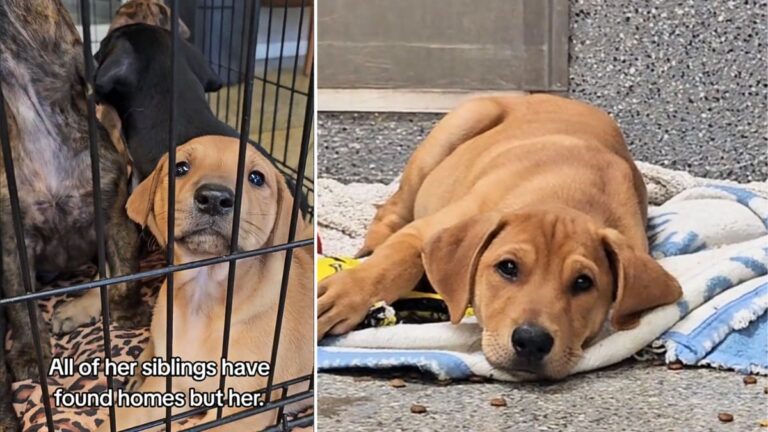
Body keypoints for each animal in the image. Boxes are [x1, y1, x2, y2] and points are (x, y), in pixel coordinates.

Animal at [0, 0, 144, 426]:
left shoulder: (114, 218)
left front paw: (128, 312)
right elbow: (22, 304)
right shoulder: (14, 244)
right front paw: (29, 352)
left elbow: (124, 273)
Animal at [99, 136, 312, 432]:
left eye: (256, 178)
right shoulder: (169, 385)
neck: (202, 297)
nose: (214, 198)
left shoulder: (245, 408)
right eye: (180, 168)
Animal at [320, 95, 684, 382]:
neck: (566, 197)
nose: (532, 342)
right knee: (392, 210)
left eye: (583, 283)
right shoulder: (422, 231)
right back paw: (370, 246)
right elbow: (391, 265)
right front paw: (344, 294)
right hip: (457, 128)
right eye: (507, 267)